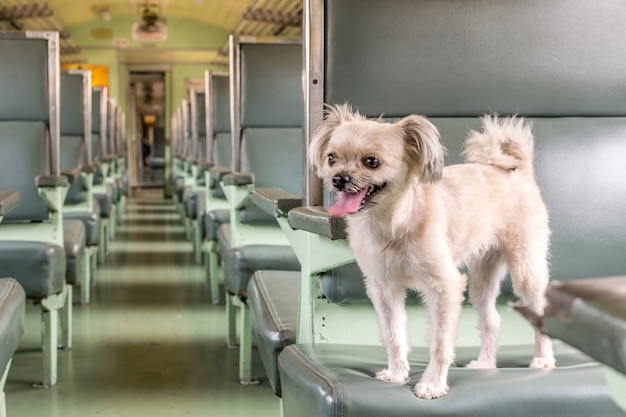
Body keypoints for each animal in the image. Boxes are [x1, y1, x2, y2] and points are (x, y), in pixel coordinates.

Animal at [308, 103, 552, 396]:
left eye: (371, 161)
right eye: (332, 158)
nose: (338, 179)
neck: (395, 222)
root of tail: (518, 171)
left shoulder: (444, 287)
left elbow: (440, 342)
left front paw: (432, 384)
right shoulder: (383, 288)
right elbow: (394, 334)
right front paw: (397, 372)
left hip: (526, 269)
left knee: (539, 312)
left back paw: (543, 359)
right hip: (482, 278)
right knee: (493, 320)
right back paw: (485, 364)